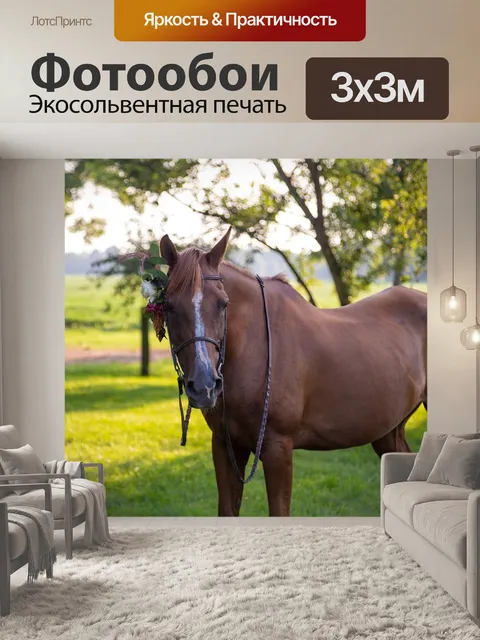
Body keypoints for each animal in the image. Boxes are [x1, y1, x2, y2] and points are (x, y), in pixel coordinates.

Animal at [159, 229, 427, 517]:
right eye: (169, 305)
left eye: (223, 304)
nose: (205, 386)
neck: (255, 349)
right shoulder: (225, 446)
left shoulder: (278, 449)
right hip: (388, 431)